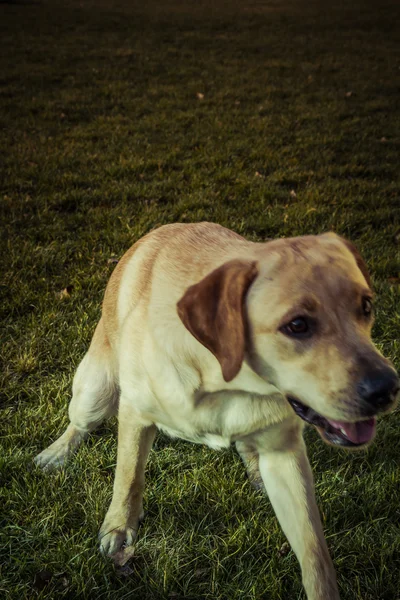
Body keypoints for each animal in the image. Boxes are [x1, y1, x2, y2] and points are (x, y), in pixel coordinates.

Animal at [36, 223, 398, 596]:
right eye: (297, 325)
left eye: (366, 306)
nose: (387, 388)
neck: (225, 381)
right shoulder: (136, 413)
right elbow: (128, 476)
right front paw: (119, 528)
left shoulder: (286, 453)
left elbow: (314, 551)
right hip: (95, 391)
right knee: (81, 424)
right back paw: (57, 453)